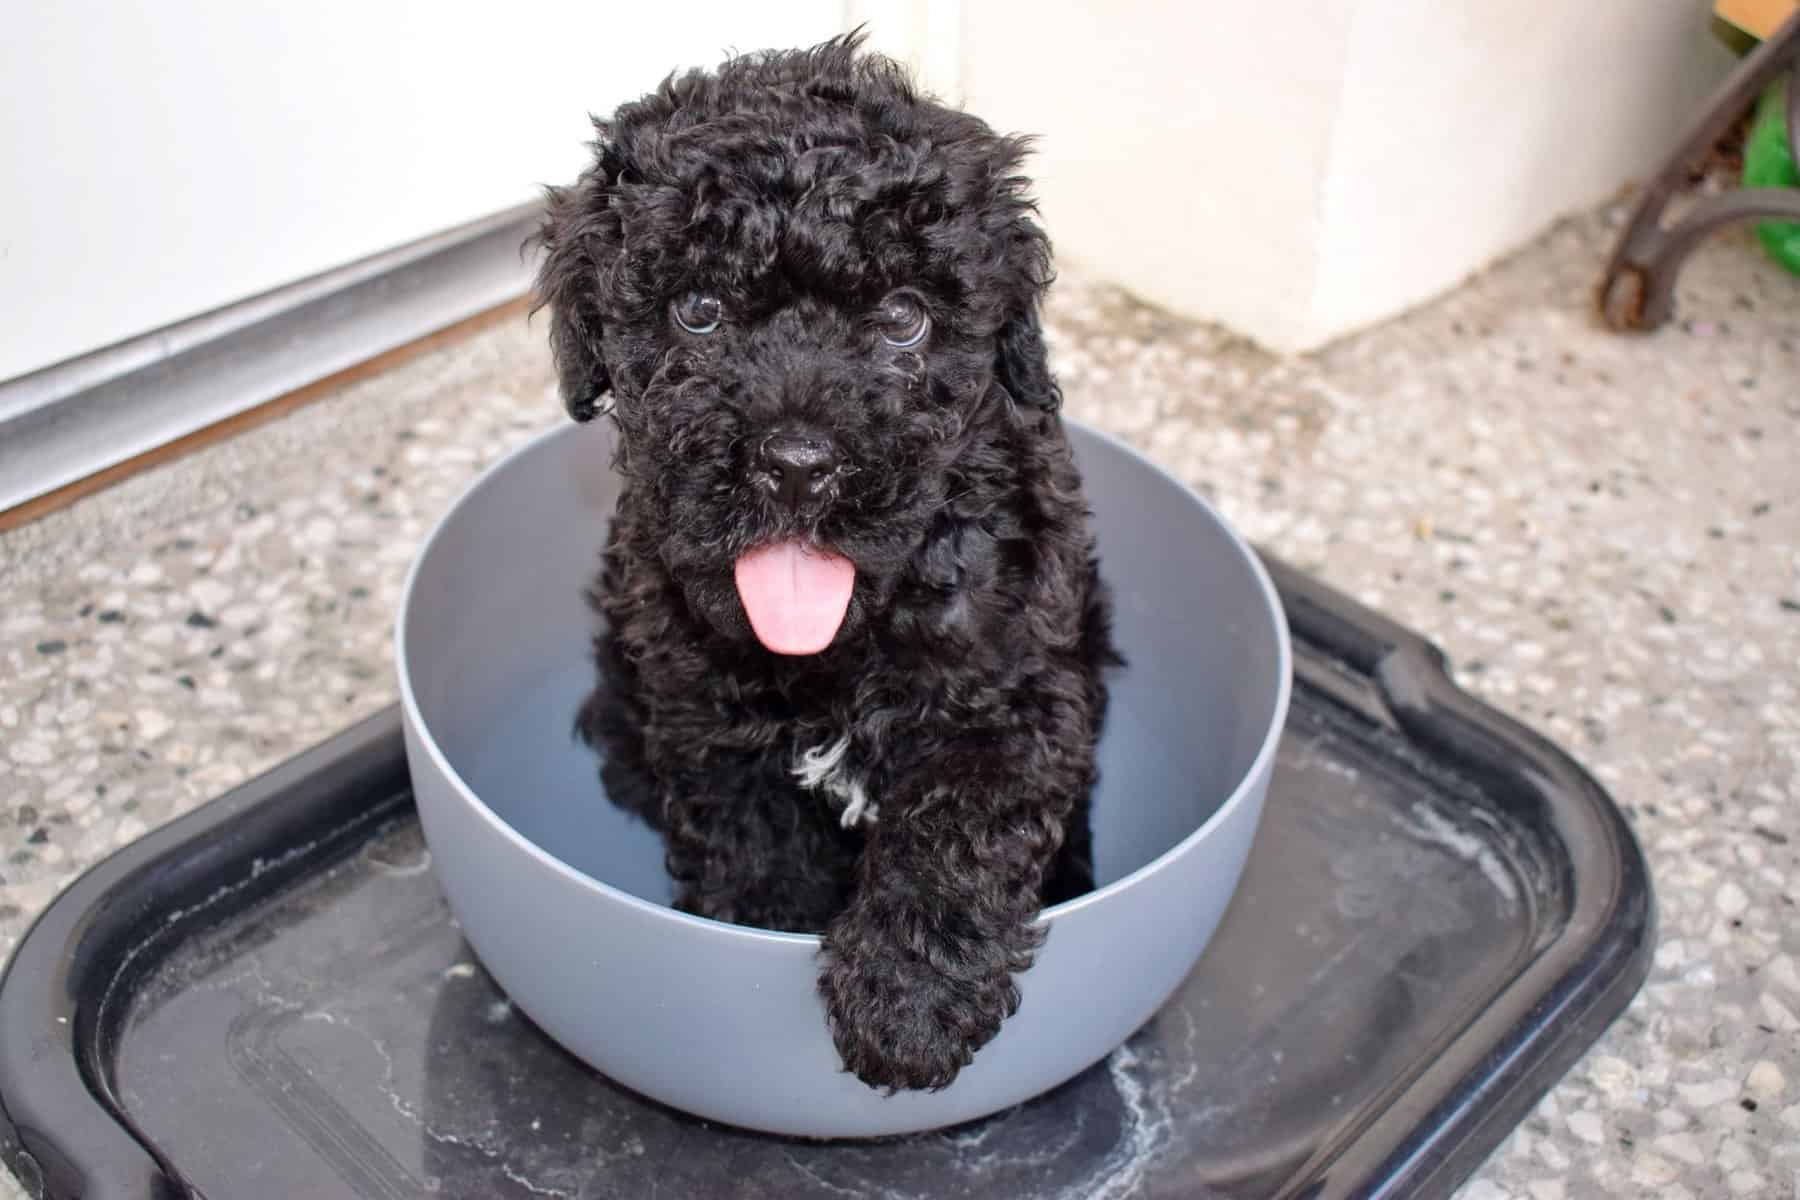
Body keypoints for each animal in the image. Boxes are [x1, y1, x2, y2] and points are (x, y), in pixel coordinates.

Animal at [529, 32, 1108, 1093]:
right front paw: (765, 943)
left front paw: (906, 1001)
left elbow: (958, 825)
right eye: (699, 309)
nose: (797, 464)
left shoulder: (1016, 702)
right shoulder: (706, 727)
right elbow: (756, 861)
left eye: (904, 318)